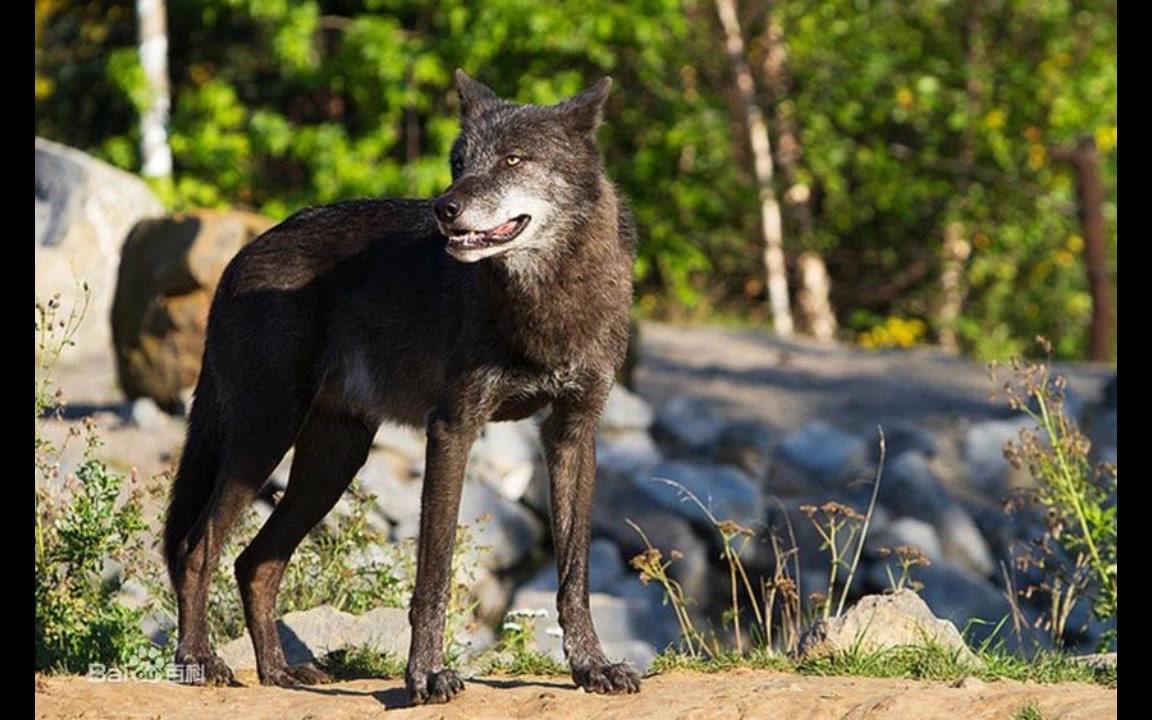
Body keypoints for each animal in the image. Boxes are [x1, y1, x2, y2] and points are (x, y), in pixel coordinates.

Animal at [164, 73, 640, 700]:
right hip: (266, 438)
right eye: (458, 162)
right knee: (196, 548)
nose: (446, 208)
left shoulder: (573, 432)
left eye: (513, 159)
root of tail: (238, 259)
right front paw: (427, 675)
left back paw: (279, 673)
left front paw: (591, 667)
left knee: (255, 562)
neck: (546, 300)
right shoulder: (453, 428)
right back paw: (200, 661)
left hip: (332, 463)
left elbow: (575, 571)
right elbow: (433, 572)